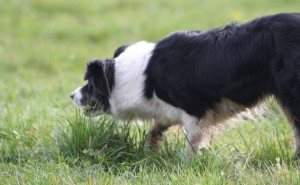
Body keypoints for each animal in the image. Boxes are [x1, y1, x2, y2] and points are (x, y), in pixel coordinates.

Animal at [71, 13, 300, 155]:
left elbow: (193, 141)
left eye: (89, 84)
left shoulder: (195, 110)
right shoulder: (169, 110)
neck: (142, 77)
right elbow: (156, 128)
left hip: (290, 94)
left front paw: (188, 162)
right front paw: (152, 148)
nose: (71, 95)